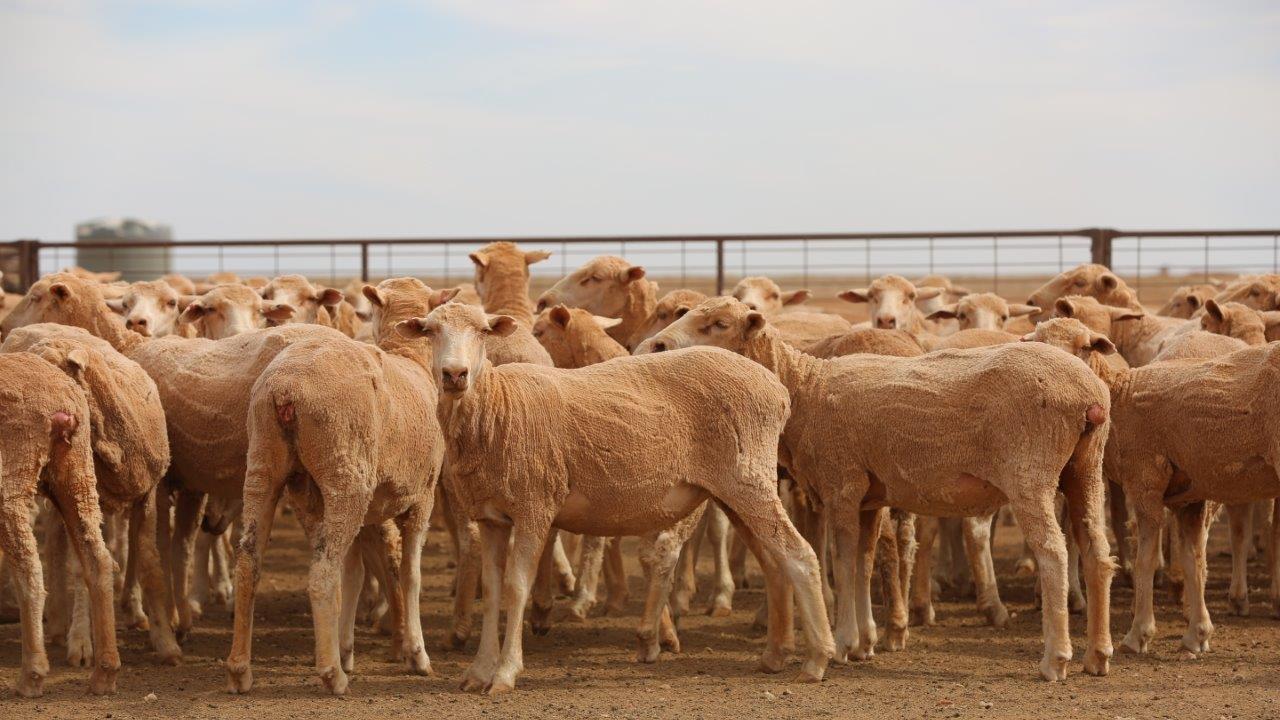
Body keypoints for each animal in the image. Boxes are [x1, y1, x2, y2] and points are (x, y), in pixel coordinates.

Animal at [0, 353, 117, 696]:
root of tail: (61, 400)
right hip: (76, 471)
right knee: (98, 559)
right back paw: (105, 673)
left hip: (13, 472)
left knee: (29, 568)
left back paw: (32, 675)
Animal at [2, 322, 184, 666]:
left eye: (54, 366)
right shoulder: (90, 497)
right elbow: (81, 570)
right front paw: (82, 642)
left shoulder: (148, 494)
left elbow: (149, 563)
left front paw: (165, 641)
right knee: (57, 547)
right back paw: (60, 624)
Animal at [225, 278, 455, 691]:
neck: (409, 358)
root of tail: (285, 387)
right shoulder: (423, 498)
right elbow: (409, 575)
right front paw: (417, 655)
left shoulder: (366, 512)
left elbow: (354, 576)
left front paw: (347, 648)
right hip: (346, 476)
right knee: (321, 573)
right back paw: (332, 674)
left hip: (265, 465)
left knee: (249, 561)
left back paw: (239, 670)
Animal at [399, 298, 839, 691]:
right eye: (430, 331)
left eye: (483, 331)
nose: (454, 374)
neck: (497, 405)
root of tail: (776, 387)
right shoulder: (491, 517)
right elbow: (491, 594)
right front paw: (477, 673)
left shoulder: (533, 508)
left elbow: (515, 589)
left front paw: (505, 674)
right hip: (734, 492)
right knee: (774, 560)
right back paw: (775, 655)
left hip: (749, 481)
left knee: (800, 555)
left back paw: (817, 659)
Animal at [645, 295, 1116, 676]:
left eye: (719, 324)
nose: (658, 347)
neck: (806, 387)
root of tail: (1087, 395)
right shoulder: (869, 497)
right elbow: (865, 560)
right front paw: (865, 642)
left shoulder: (841, 484)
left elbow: (843, 560)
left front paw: (843, 643)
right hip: (1086, 469)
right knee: (1096, 550)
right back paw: (1097, 656)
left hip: (1029, 473)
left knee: (1053, 552)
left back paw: (1055, 659)